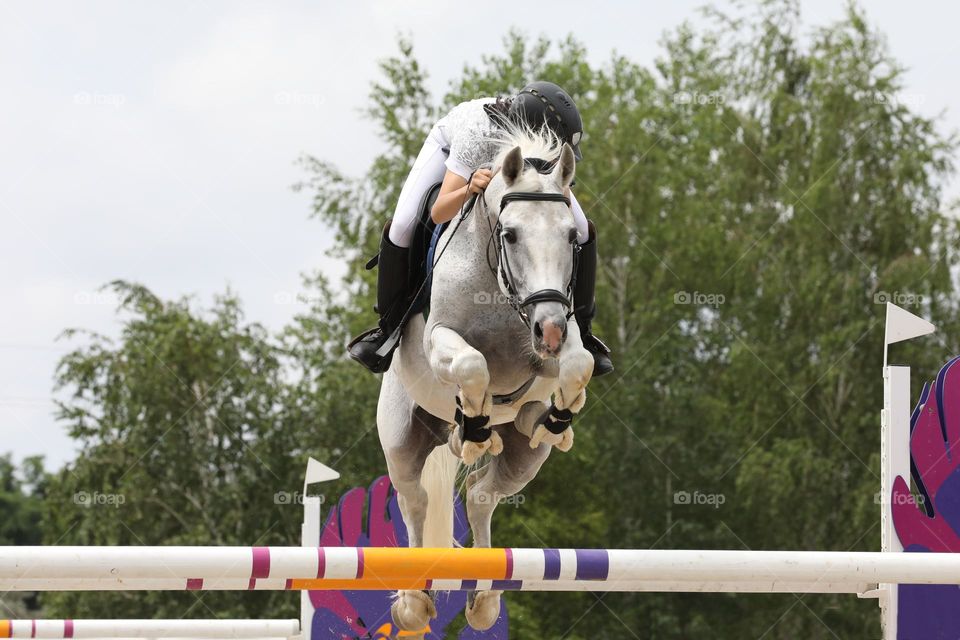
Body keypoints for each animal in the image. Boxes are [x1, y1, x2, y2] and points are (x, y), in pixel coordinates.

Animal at [376, 126, 595, 633]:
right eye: (510, 235)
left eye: (572, 238)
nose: (549, 332)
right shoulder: (440, 340)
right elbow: (473, 365)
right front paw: (474, 427)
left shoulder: (556, 335)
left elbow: (579, 364)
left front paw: (557, 416)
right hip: (401, 440)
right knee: (415, 499)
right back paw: (414, 601)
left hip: (525, 459)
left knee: (481, 494)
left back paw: (485, 599)